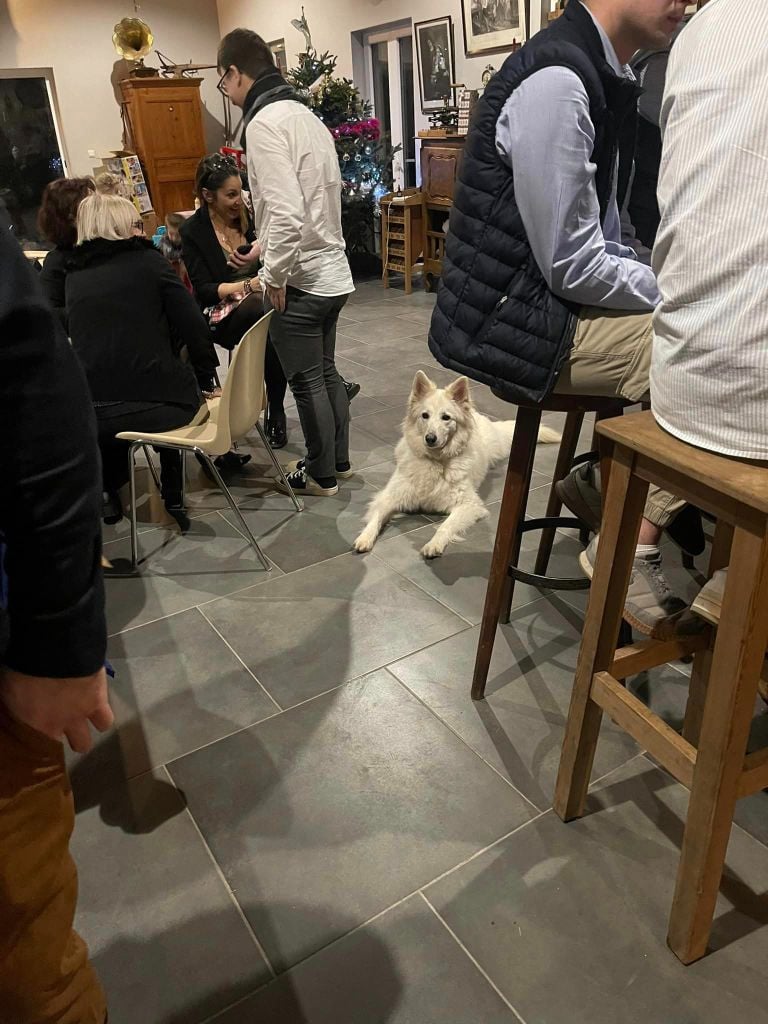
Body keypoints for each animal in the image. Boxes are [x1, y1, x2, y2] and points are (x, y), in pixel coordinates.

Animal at [354, 370, 561, 559]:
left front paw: (434, 544)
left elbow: (445, 526)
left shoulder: (469, 505)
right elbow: (376, 517)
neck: (435, 461)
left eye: (446, 417)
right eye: (425, 415)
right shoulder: (389, 497)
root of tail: (476, 413)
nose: (430, 438)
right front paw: (365, 537)